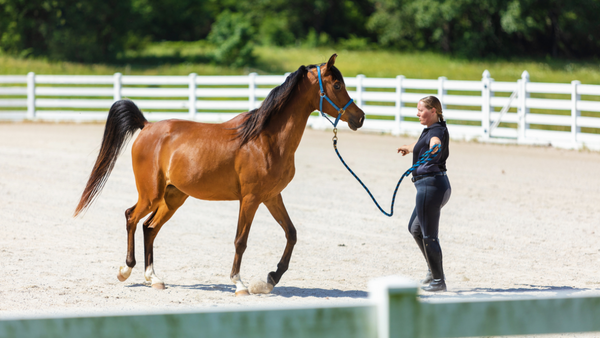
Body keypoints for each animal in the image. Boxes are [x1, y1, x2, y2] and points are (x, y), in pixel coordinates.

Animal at [75, 53, 366, 296]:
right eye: (337, 85)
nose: (360, 117)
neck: (266, 139)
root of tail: (147, 127)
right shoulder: (250, 199)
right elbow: (241, 240)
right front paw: (239, 284)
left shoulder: (271, 196)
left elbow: (291, 234)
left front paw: (270, 279)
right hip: (151, 194)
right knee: (131, 217)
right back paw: (126, 270)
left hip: (173, 198)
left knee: (149, 227)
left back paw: (154, 278)